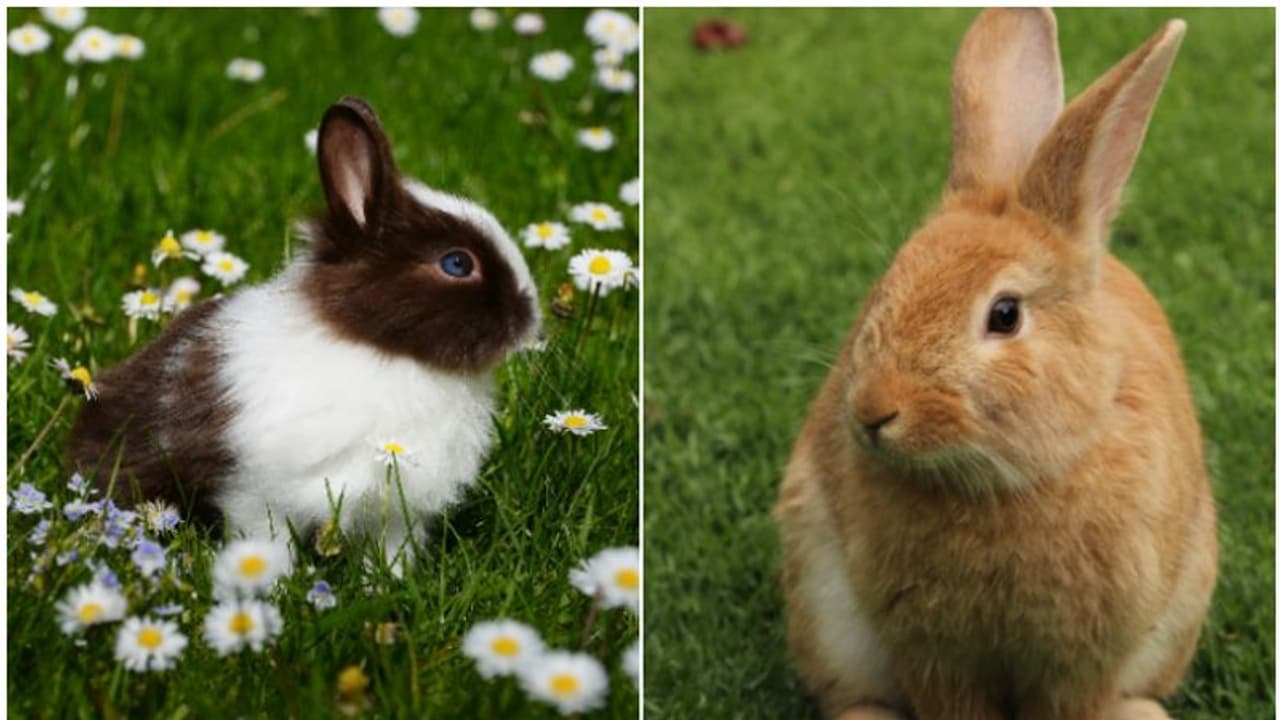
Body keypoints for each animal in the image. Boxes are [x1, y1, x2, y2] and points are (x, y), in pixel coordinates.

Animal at [70, 97, 541, 571]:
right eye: (457, 264)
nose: (530, 316)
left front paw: (386, 581)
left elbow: (390, 552)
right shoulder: (257, 494)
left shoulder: (395, 512)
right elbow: (266, 542)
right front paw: (270, 580)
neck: (379, 349)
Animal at [774, 9, 1216, 720]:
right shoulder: (934, 654)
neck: (1004, 484)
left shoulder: (1080, 659)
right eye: (887, 284)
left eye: (1004, 315)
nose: (874, 411)